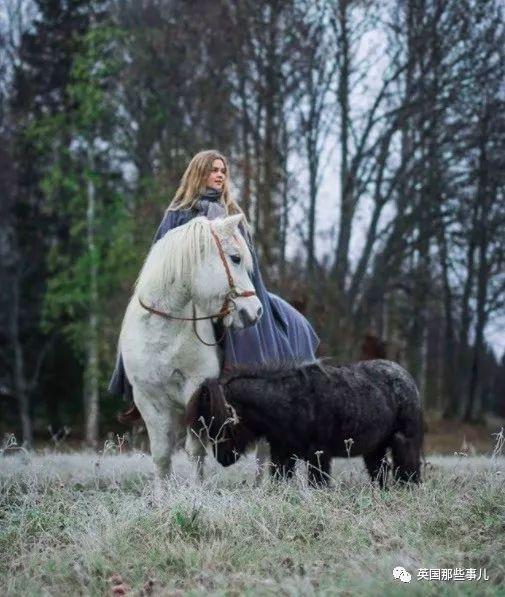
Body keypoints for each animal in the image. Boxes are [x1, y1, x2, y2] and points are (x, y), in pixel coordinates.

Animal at [118, 213, 260, 474]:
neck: (161, 333)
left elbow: (196, 453)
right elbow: (161, 455)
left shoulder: (197, 393)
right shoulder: (148, 399)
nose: (256, 311)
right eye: (235, 258)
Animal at [185, 358, 422, 484]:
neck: (286, 404)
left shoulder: (319, 455)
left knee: (409, 473)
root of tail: (406, 376)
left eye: (220, 421)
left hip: (404, 443)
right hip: (374, 451)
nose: (222, 458)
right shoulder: (282, 455)